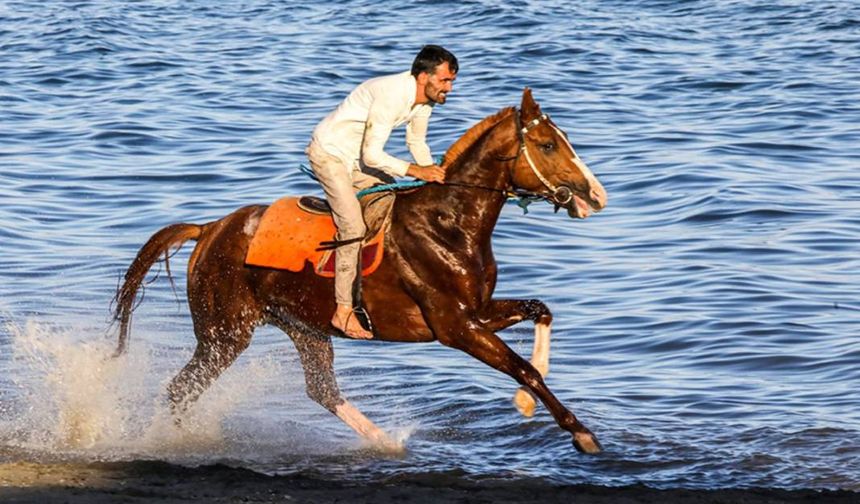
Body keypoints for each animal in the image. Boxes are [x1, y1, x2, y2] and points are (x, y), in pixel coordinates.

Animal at [114, 88, 608, 454]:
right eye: (548, 145)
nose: (596, 195)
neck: (448, 222)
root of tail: (210, 229)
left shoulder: (479, 311)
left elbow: (541, 311)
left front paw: (525, 404)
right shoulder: (456, 327)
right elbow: (524, 369)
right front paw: (580, 433)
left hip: (304, 328)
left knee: (321, 390)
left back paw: (387, 443)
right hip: (225, 334)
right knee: (180, 389)